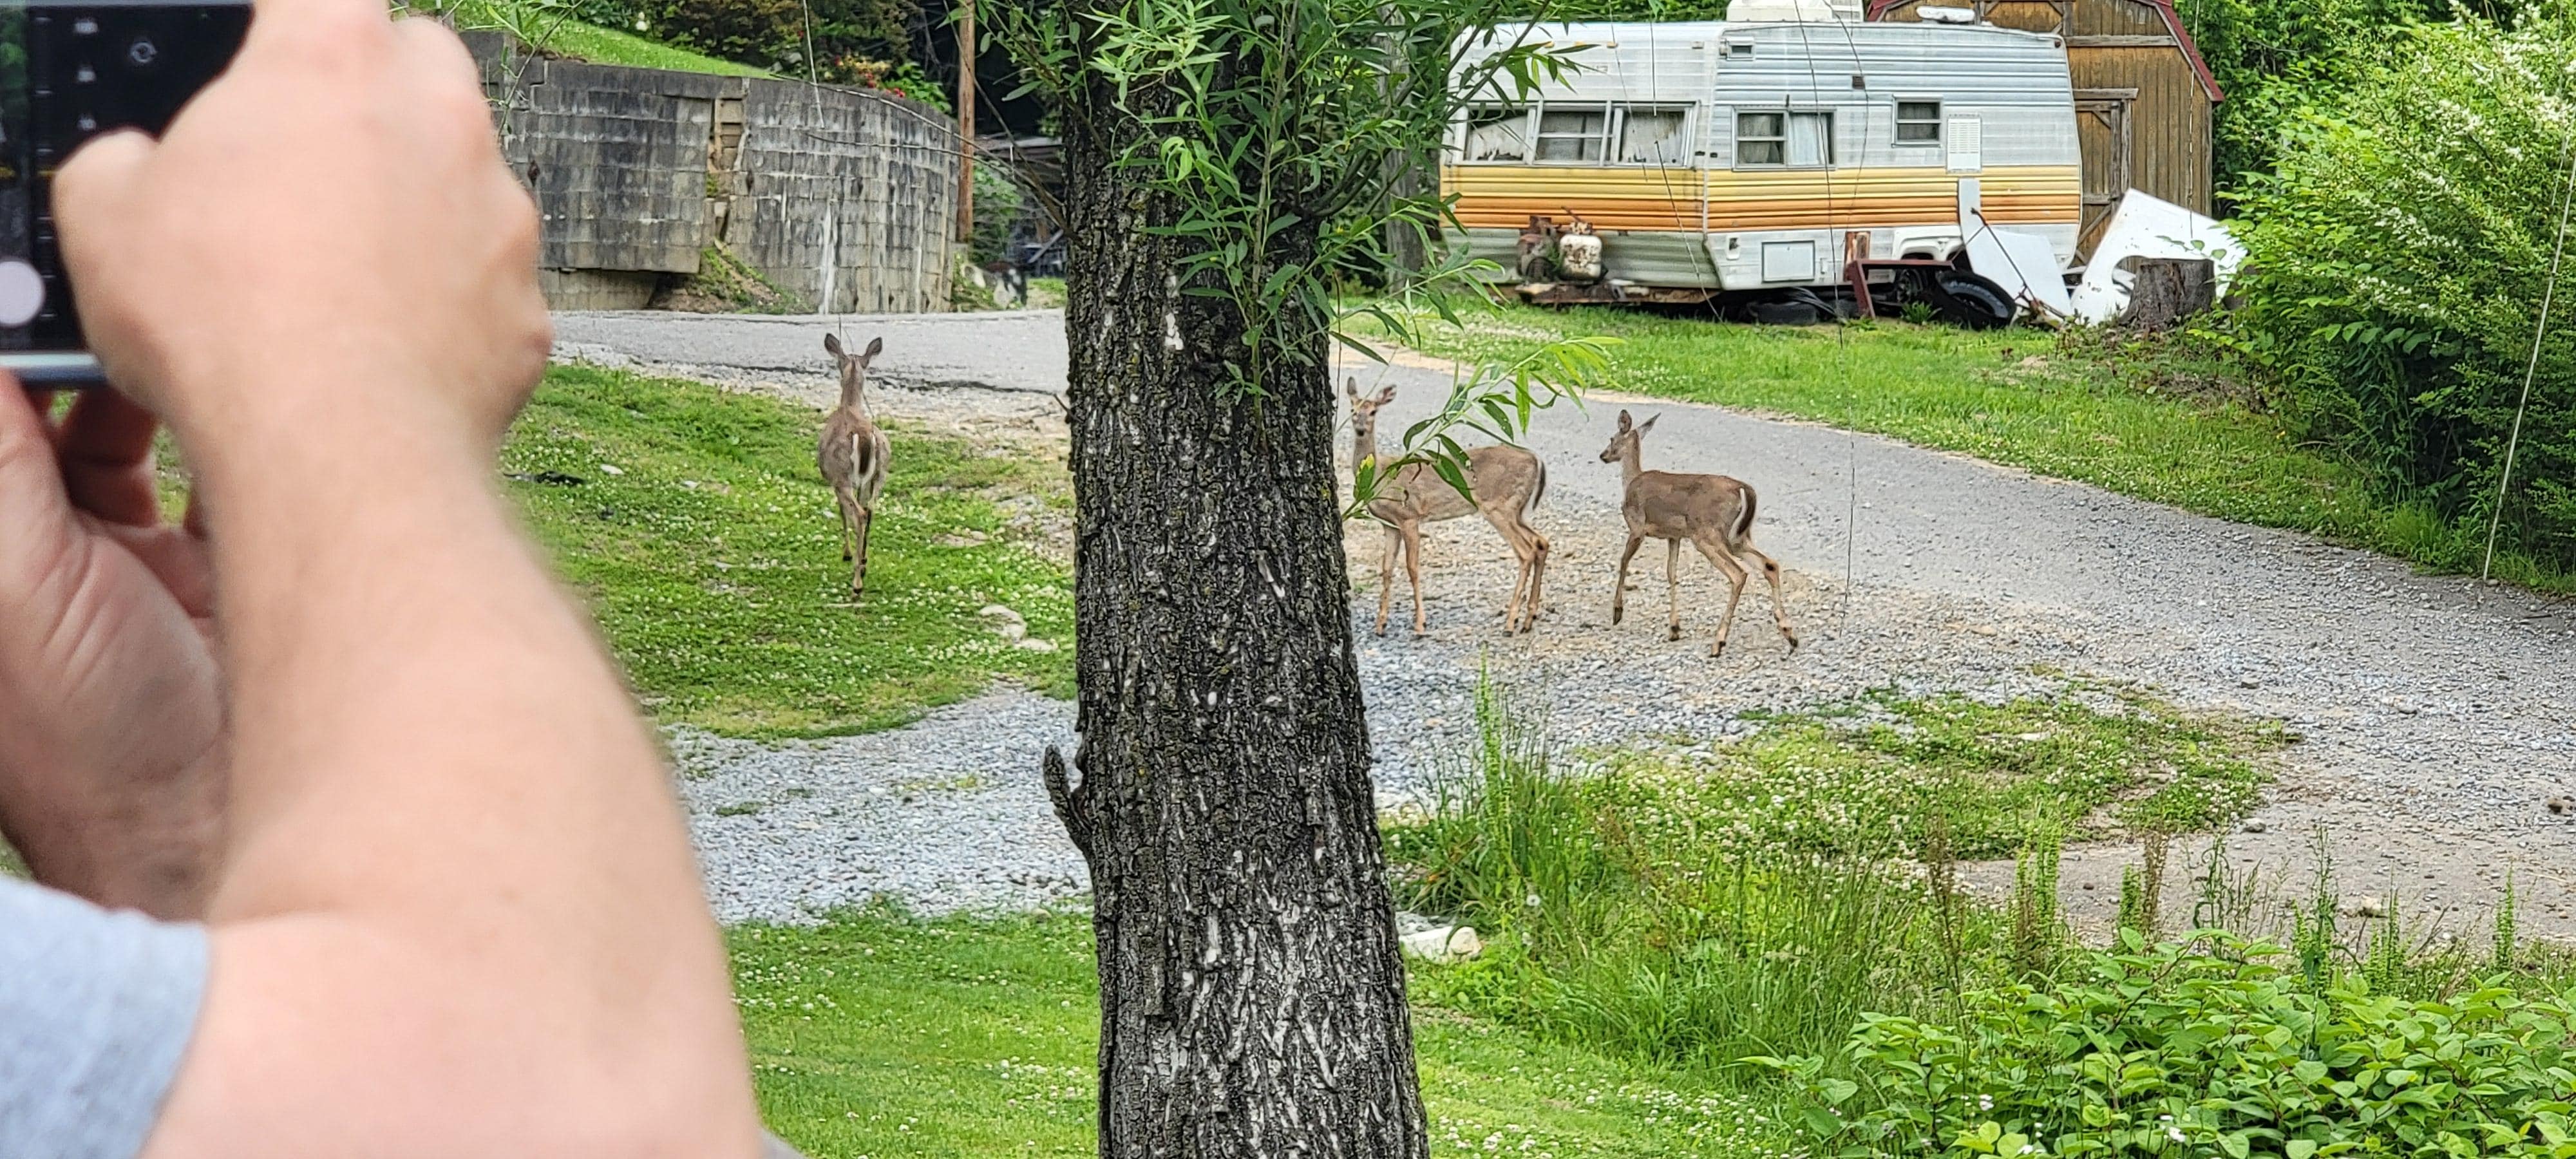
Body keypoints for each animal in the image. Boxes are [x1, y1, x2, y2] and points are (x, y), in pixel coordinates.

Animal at [819, 333, 891, 601]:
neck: (849, 407)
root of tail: (865, 436)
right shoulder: (862, 482)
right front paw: (861, 558)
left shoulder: (833, 479)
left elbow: (842, 513)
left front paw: (848, 553)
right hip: (880, 474)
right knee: (871, 510)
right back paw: (864, 563)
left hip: (842, 475)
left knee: (859, 514)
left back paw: (857, 583)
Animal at [1346, 379, 1550, 637]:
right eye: (1353, 409)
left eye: (1373, 411)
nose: (1361, 428)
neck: (1378, 476)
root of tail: (1536, 459)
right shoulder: (1389, 524)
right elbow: (1386, 569)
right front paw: (1380, 624)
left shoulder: (1409, 515)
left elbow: (1412, 567)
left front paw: (1420, 624)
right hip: (1518, 509)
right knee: (1541, 542)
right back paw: (1528, 619)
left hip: (1500, 505)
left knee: (1526, 551)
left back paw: (1510, 622)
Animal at [1599, 409, 1797, 657]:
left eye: (1611, 439)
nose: (1603, 456)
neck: (1631, 480)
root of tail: (1743, 488)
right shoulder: (1674, 536)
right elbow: (1671, 573)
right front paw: (1674, 628)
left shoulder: (1637, 527)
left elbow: (1624, 561)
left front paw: (1617, 612)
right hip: (1738, 537)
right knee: (1769, 564)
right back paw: (1789, 633)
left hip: (1706, 533)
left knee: (1738, 574)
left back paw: (1718, 642)